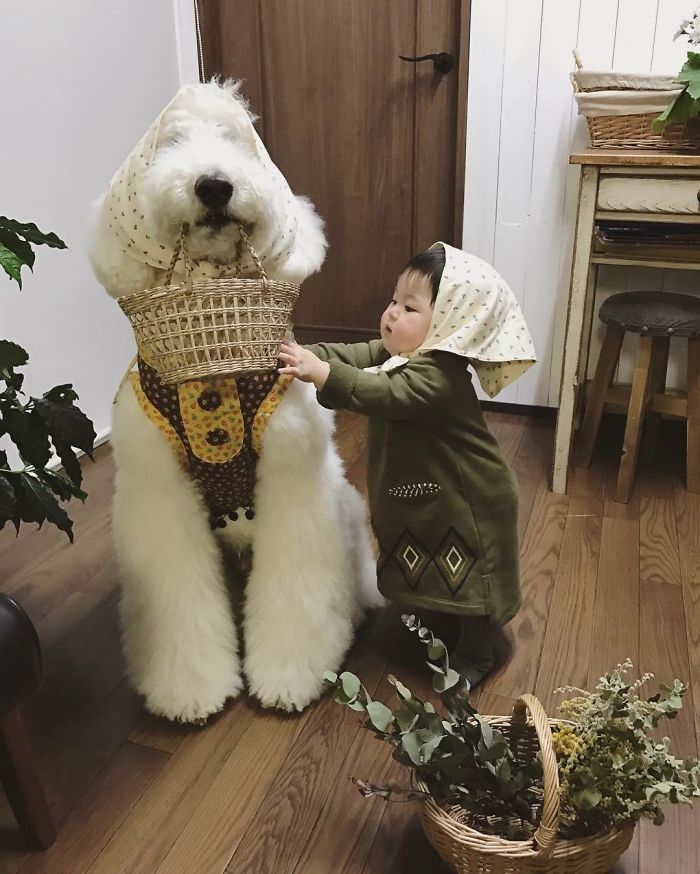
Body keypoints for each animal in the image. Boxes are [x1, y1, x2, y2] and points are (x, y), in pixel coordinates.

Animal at [90, 82, 382, 724]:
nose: (214, 185)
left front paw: (290, 676)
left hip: (344, 512)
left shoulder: (294, 483)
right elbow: (179, 600)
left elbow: (297, 591)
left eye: (235, 140)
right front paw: (189, 692)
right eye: (171, 142)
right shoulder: (161, 494)